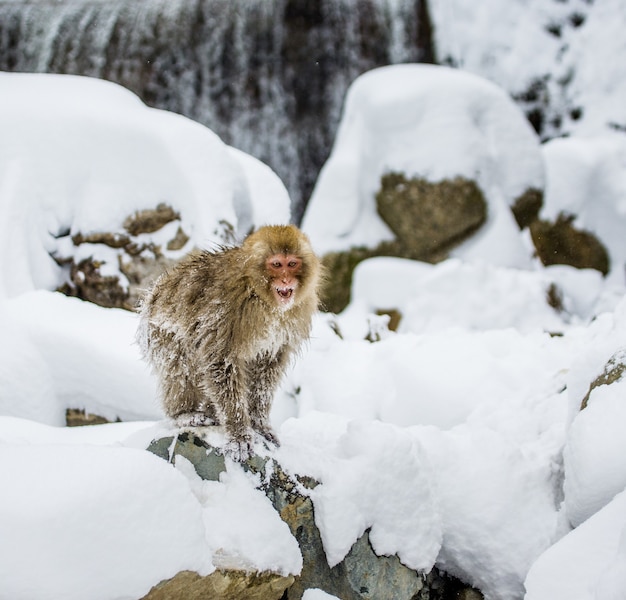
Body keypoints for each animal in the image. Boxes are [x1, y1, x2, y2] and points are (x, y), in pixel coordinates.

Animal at [136, 223, 322, 462]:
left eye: (292, 264)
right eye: (276, 264)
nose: (286, 280)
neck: (259, 294)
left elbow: (267, 367)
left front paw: (259, 423)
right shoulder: (227, 307)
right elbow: (220, 363)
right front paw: (239, 434)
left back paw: (209, 411)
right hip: (160, 334)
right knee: (180, 366)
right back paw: (184, 414)